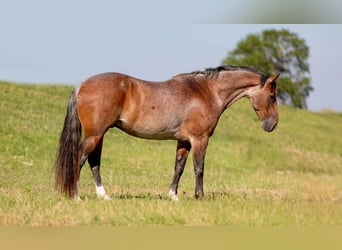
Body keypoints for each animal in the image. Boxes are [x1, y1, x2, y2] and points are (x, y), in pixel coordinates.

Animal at [54, 65, 280, 201]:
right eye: (272, 96)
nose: (273, 124)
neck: (206, 92)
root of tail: (82, 85)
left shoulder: (184, 141)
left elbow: (178, 167)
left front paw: (173, 195)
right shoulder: (200, 139)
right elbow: (199, 168)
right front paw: (200, 196)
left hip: (98, 135)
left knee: (94, 163)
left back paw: (104, 196)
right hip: (94, 135)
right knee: (79, 159)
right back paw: (75, 196)